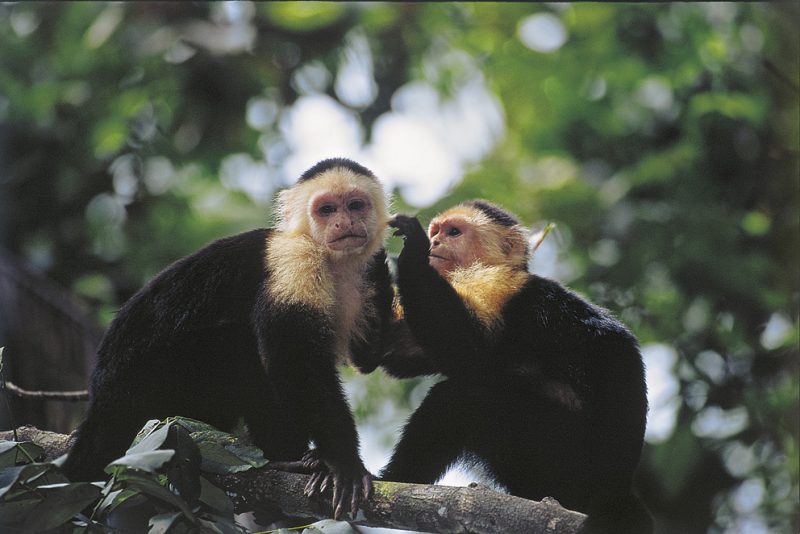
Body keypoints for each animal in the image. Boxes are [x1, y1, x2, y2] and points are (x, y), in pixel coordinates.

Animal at [62, 158, 394, 520]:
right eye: (327, 209)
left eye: (355, 205)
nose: (344, 222)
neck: (329, 260)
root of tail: (101, 398)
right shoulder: (294, 261)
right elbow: (295, 362)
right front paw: (343, 463)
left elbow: (366, 357)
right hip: (150, 387)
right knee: (242, 346)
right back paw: (284, 458)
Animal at [380, 202, 648, 534]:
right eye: (437, 231)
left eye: (453, 232)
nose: (435, 242)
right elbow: (390, 356)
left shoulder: (496, 286)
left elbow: (469, 354)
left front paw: (411, 250)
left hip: (558, 447)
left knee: (461, 395)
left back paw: (394, 480)